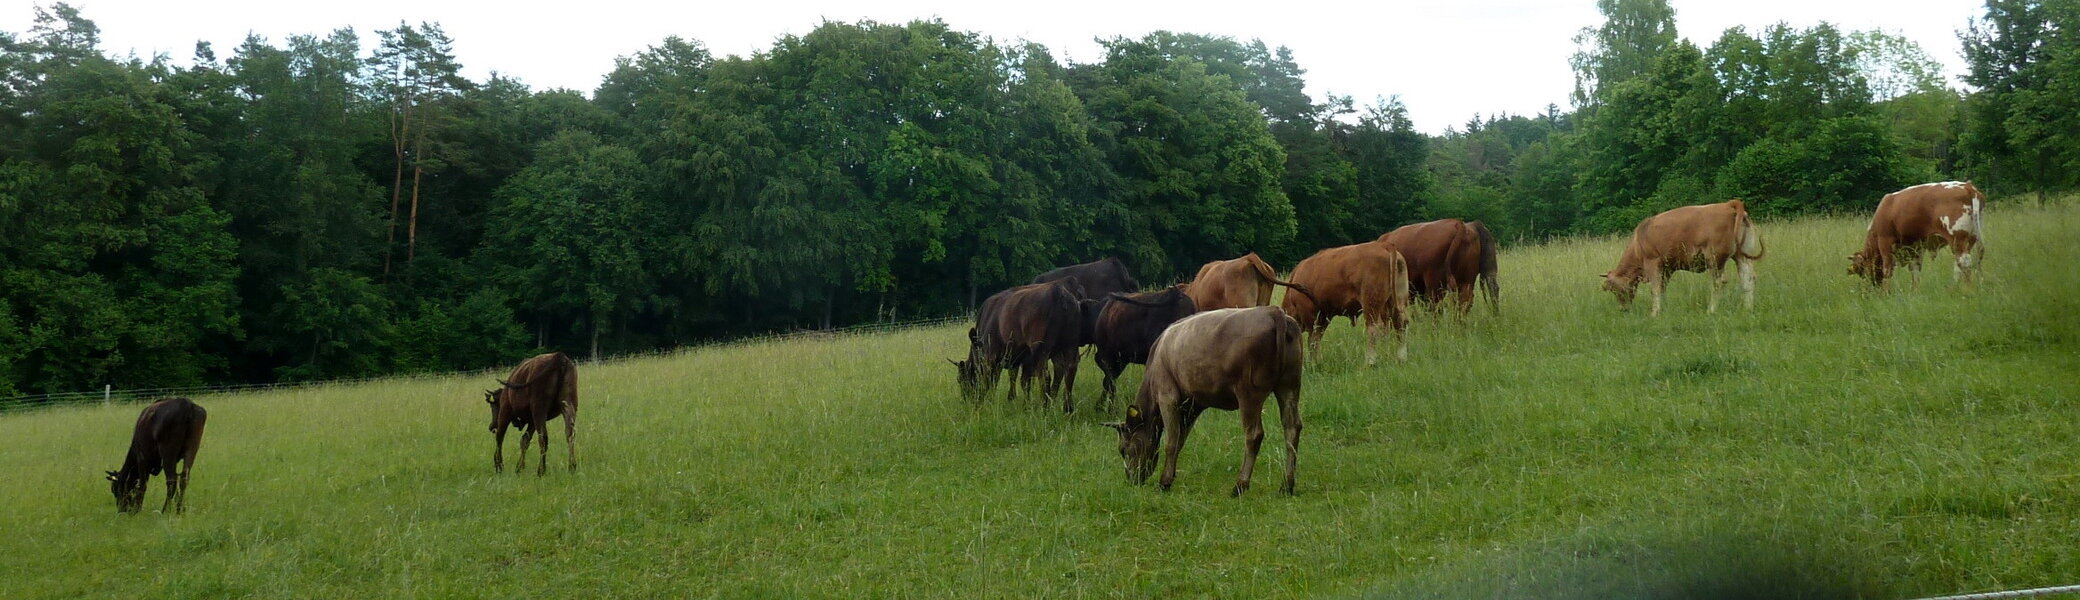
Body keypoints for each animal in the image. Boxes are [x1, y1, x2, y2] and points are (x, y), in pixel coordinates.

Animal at [1106, 306, 1297, 493]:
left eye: (1123, 449)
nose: (1131, 479)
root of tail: (1272, 311)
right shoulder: (1193, 406)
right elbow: (1180, 439)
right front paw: (1171, 475)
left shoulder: (1167, 397)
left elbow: (1171, 441)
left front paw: (1164, 481)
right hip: (1289, 387)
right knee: (1292, 429)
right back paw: (1286, 485)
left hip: (1249, 395)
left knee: (1254, 435)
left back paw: (1240, 485)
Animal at [1281, 240, 1414, 366]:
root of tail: (1383, 245)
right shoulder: (1324, 315)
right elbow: (1317, 338)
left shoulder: (1311, 314)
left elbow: (1312, 340)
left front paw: (1312, 362)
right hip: (1397, 301)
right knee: (1400, 324)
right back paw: (1401, 359)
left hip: (1371, 303)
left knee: (1373, 329)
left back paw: (1370, 362)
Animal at [1597, 198, 1763, 316]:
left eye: (1615, 290)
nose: (1623, 309)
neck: (1638, 243)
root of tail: (1728, 205)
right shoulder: (1667, 268)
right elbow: (1662, 289)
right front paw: (1663, 309)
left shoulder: (1652, 262)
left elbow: (1655, 289)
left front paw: (1654, 313)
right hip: (1741, 255)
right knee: (1748, 278)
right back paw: (1748, 308)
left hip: (1715, 259)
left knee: (1719, 282)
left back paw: (1711, 310)